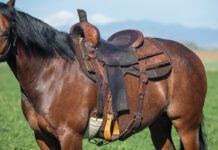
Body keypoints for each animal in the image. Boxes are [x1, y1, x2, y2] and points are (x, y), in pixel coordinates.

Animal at [0, 0, 207, 149]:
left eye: (4, 33)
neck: (52, 74)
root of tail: (192, 55)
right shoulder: (42, 137)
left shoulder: (70, 135)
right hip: (159, 123)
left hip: (187, 125)